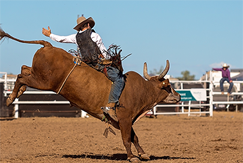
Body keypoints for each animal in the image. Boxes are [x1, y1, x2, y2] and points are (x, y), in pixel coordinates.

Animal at [0, 28, 180, 162]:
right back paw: (10, 99)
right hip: (43, 82)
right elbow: (127, 138)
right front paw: (132, 157)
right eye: (168, 86)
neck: (141, 90)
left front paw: (143, 154)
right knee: (20, 77)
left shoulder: (120, 121)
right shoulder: (125, 118)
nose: (178, 96)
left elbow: (134, 137)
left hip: (38, 76)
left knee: (24, 69)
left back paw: (18, 92)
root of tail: (48, 46)